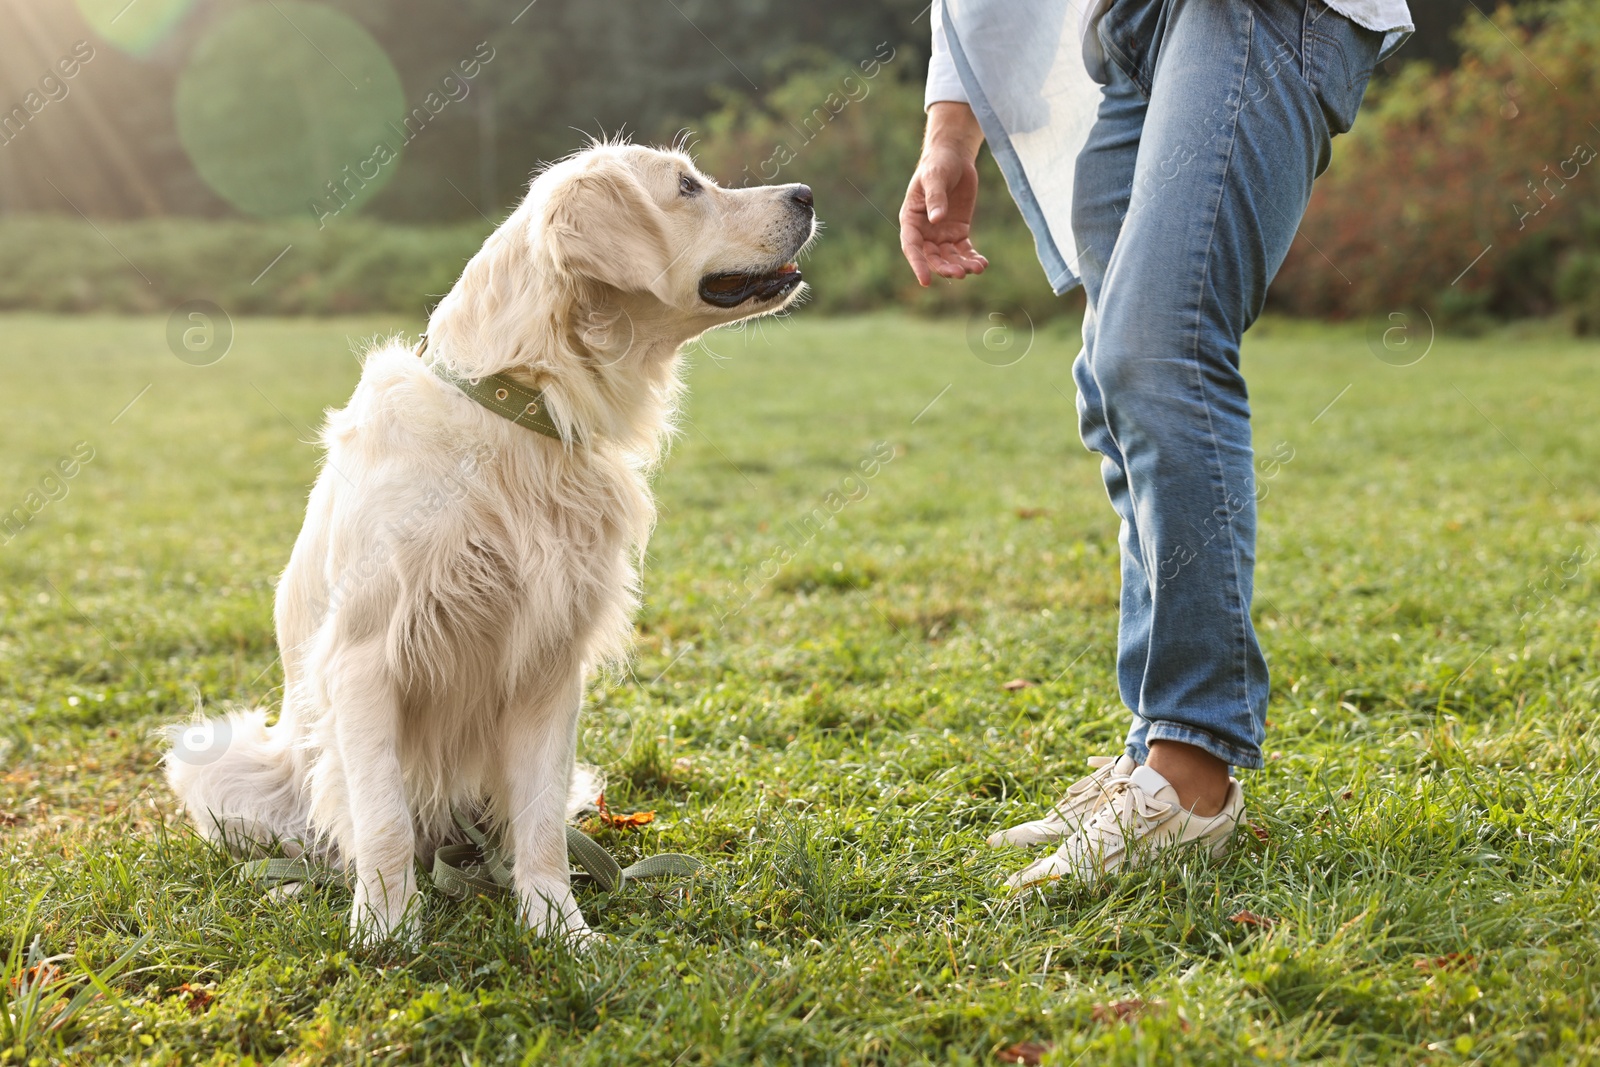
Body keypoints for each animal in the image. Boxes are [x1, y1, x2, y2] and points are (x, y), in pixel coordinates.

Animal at [165, 141, 812, 940]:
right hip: (221, 761)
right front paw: (387, 930)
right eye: (688, 187)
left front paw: (559, 926)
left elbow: (537, 824)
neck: (521, 412)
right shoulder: (364, 659)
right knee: (319, 833)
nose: (807, 194)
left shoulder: (549, 662)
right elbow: (380, 819)